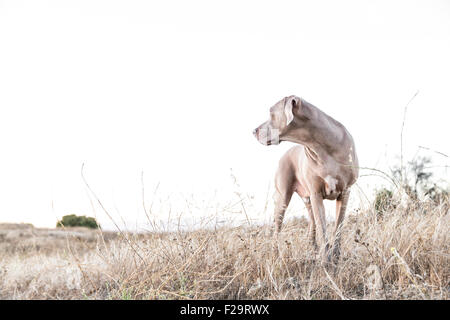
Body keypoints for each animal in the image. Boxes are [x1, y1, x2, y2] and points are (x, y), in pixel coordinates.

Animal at [253, 95, 358, 264]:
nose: (253, 131)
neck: (321, 145)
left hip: (308, 200)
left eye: (271, 113)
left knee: (312, 225)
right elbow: (323, 229)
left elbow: (338, 227)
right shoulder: (317, 194)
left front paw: (335, 257)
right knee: (278, 229)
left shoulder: (345, 192)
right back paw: (275, 256)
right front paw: (326, 260)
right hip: (283, 197)